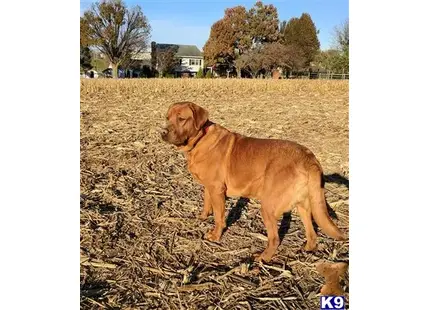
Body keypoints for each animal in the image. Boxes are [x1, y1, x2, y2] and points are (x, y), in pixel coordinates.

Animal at [160, 101, 344, 262]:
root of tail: (309, 157)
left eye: (181, 119)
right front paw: (203, 217)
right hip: (304, 205)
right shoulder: (209, 187)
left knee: (275, 239)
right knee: (312, 234)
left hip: (268, 206)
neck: (199, 140)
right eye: (167, 117)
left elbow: (219, 217)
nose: (162, 132)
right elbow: (206, 203)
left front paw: (215, 235)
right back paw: (306, 250)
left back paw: (263, 258)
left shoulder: (217, 189)